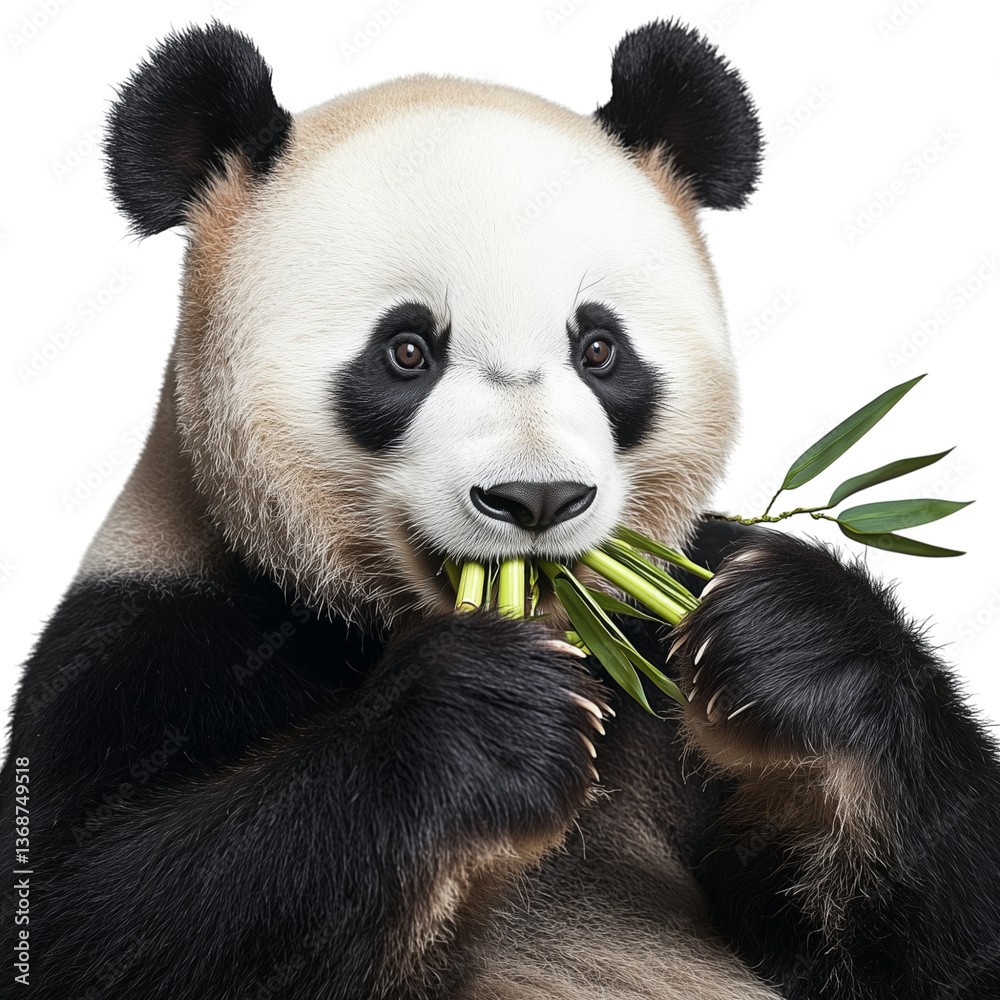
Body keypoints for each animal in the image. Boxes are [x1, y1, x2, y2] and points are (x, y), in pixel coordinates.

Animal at [5, 18, 1000, 1000]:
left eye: (599, 348)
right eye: (407, 351)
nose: (537, 497)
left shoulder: (662, 665)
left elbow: (924, 945)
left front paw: (791, 637)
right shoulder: (151, 637)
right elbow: (91, 913)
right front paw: (487, 714)